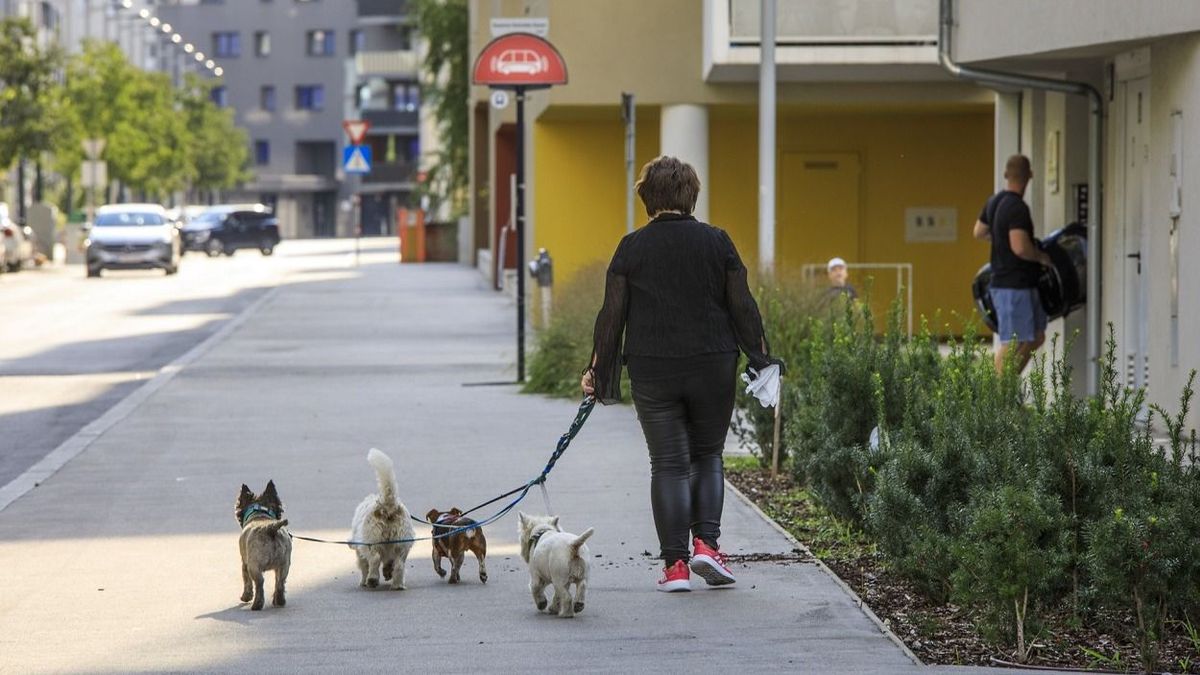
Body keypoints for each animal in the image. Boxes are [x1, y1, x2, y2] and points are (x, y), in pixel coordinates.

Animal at [232, 478, 291, 610]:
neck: (260, 514)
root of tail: (271, 528)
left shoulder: (244, 563)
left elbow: (246, 581)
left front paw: (246, 597)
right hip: (284, 565)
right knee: (280, 582)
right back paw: (279, 601)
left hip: (253, 566)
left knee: (259, 583)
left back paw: (257, 605)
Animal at [350, 446, 415, 588]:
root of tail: (388, 504)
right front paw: (387, 572)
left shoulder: (361, 549)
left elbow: (364, 566)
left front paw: (363, 581)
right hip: (402, 542)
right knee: (399, 564)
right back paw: (397, 585)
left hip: (372, 540)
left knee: (374, 559)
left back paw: (372, 580)